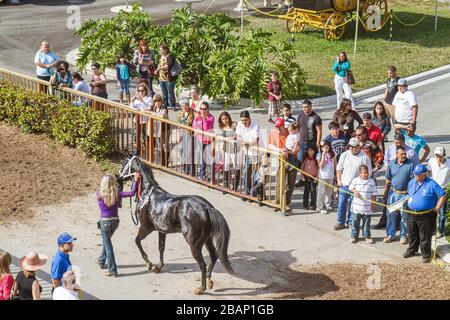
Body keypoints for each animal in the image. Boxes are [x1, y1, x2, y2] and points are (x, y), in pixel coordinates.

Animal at [119, 155, 234, 296]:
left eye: (123, 163)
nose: (118, 178)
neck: (148, 195)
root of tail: (206, 207)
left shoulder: (146, 228)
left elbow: (137, 241)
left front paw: (149, 263)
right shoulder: (161, 231)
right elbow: (161, 247)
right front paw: (158, 267)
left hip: (194, 244)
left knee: (202, 263)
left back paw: (201, 288)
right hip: (207, 240)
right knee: (213, 256)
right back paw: (209, 280)